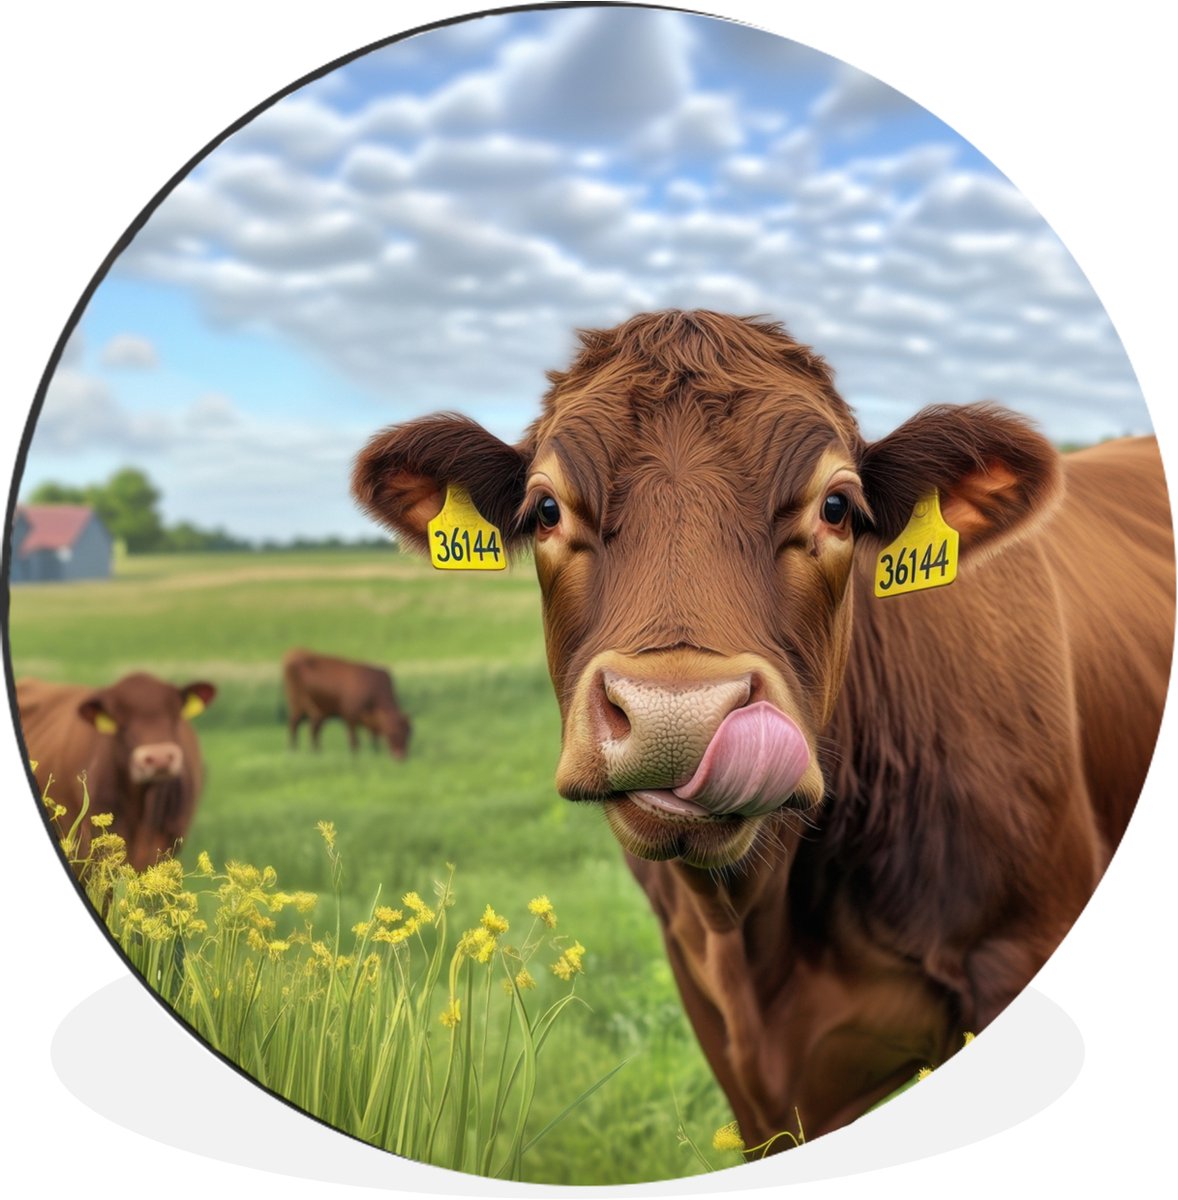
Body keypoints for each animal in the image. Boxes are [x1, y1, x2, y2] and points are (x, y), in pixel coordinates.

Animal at [282, 648, 411, 759]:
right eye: (393, 733)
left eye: (408, 734)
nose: (401, 756)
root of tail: (294, 654)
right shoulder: (351, 717)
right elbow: (354, 741)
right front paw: (355, 757)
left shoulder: (371, 721)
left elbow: (373, 739)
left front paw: (375, 753)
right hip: (298, 705)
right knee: (294, 725)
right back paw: (293, 749)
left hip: (318, 711)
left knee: (314, 730)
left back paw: (316, 752)